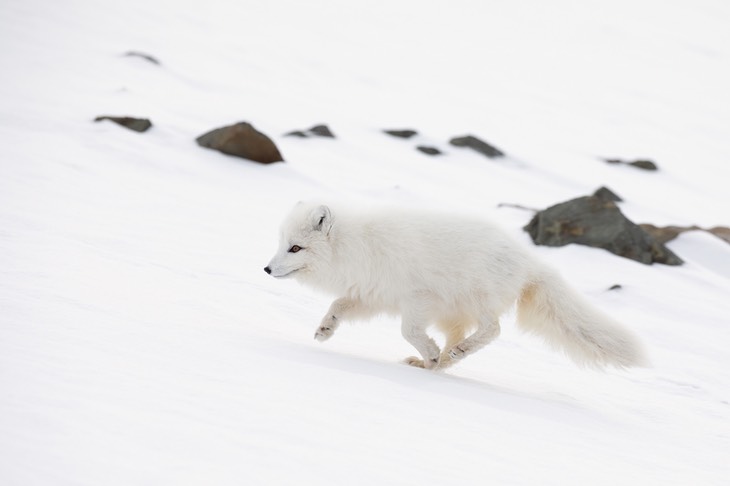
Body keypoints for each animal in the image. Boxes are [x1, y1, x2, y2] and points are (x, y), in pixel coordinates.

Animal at [262, 201, 644, 368]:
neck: (358, 246)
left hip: (475, 298)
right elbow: (338, 305)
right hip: (454, 313)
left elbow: (409, 330)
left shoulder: (417, 297)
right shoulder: (374, 295)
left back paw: (446, 355)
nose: (266, 268)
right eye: (282, 244)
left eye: (295, 248)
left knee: (493, 330)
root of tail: (530, 261)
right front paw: (325, 329)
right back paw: (437, 362)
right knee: (462, 338)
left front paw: (428, 350)